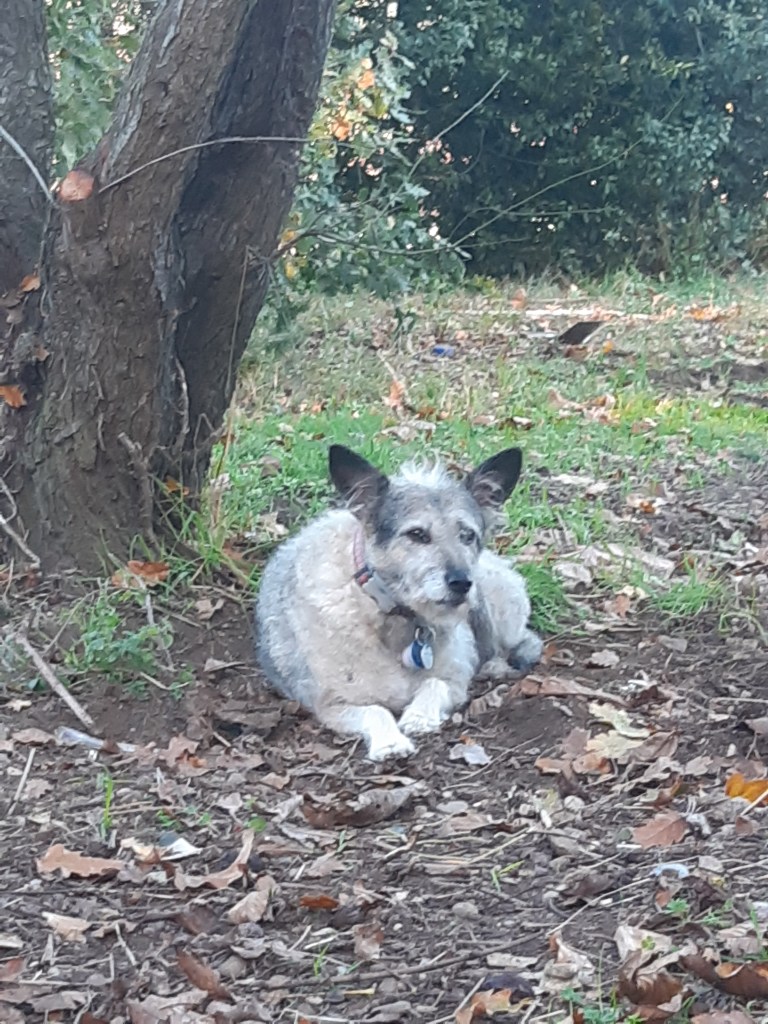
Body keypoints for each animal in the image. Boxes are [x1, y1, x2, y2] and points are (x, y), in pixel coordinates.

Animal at [255, 444, 542, 760]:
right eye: (416, 534)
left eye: (467, 535)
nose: (461, 583)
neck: (394, 618)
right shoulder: (332, 706)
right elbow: (375, 710)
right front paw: (390, 742)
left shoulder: (454, 680)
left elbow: (434, 683)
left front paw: (419, 716)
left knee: (525, 641)